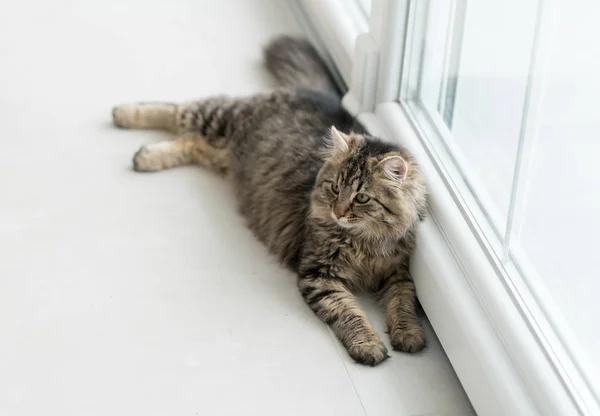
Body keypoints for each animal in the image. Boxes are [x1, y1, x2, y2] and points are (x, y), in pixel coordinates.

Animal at [112, 36, 428, 368]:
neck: (364, 242)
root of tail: (316, 94)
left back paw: (147, 155)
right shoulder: (320, 276)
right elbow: (351, 314)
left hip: (219, 150)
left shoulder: (397, 272)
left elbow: (403, 303)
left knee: (190, 141)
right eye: (335, 188)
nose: (338, 212)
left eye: (362, 197)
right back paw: (126, 120)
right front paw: (368, 345)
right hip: (220, 118)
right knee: (176, 109)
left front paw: (409, 335)